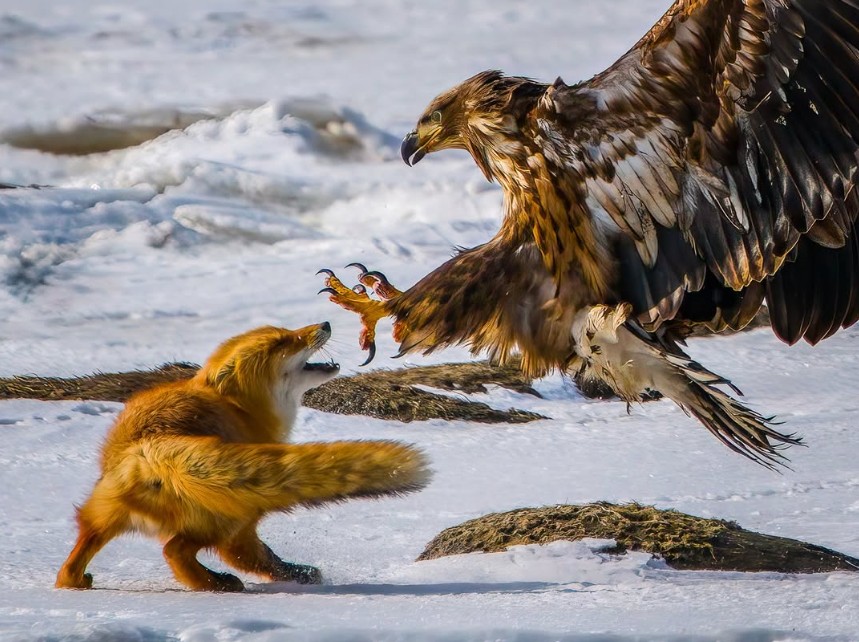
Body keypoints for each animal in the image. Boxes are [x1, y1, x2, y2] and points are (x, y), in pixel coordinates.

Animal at [55, 321, 430, 592]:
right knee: (183, 551)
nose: (324, 323)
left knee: (72, 563)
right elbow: (255, 556)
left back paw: (77, 582)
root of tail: (150, 446)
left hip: (103, 516)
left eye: (286, 331)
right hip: (233, 515)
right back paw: (225, 583)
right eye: (282, 343)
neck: (240, 409)